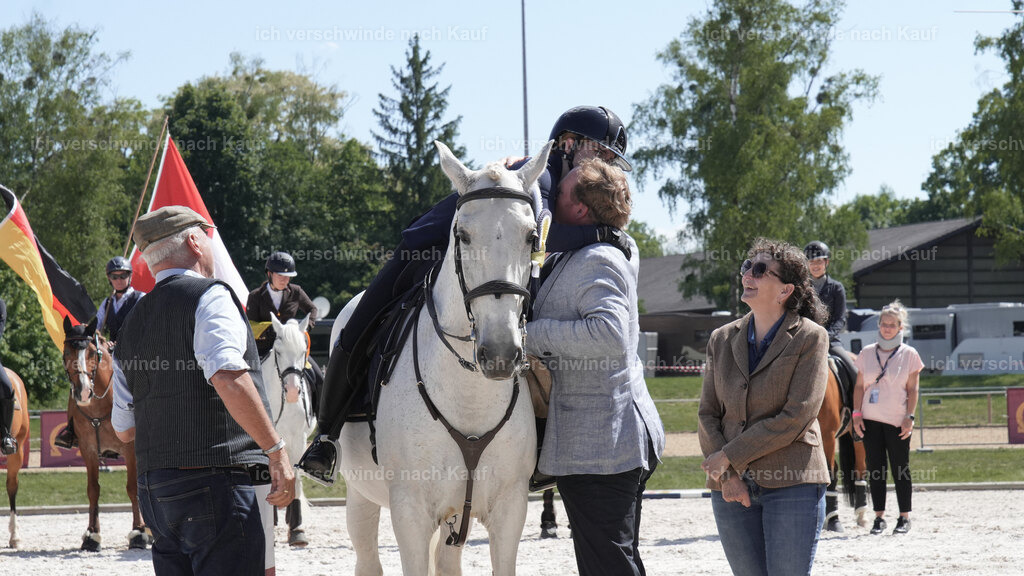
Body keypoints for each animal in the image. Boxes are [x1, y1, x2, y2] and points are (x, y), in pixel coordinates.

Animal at [61, 317, 151, 551]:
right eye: (66, 352)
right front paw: (92, 535)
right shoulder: (89, 450)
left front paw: (139, 532)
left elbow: (133, 488)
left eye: (93, 353)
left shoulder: (130, 450)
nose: (83, 392)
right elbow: (93, 489)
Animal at [335, 140, 550, 575]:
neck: (468, 396)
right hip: (361, 496)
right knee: (367, 558)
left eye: (531, 236)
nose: (499, 353)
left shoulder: (509, 509)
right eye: (462, 235)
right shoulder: (410, 514)